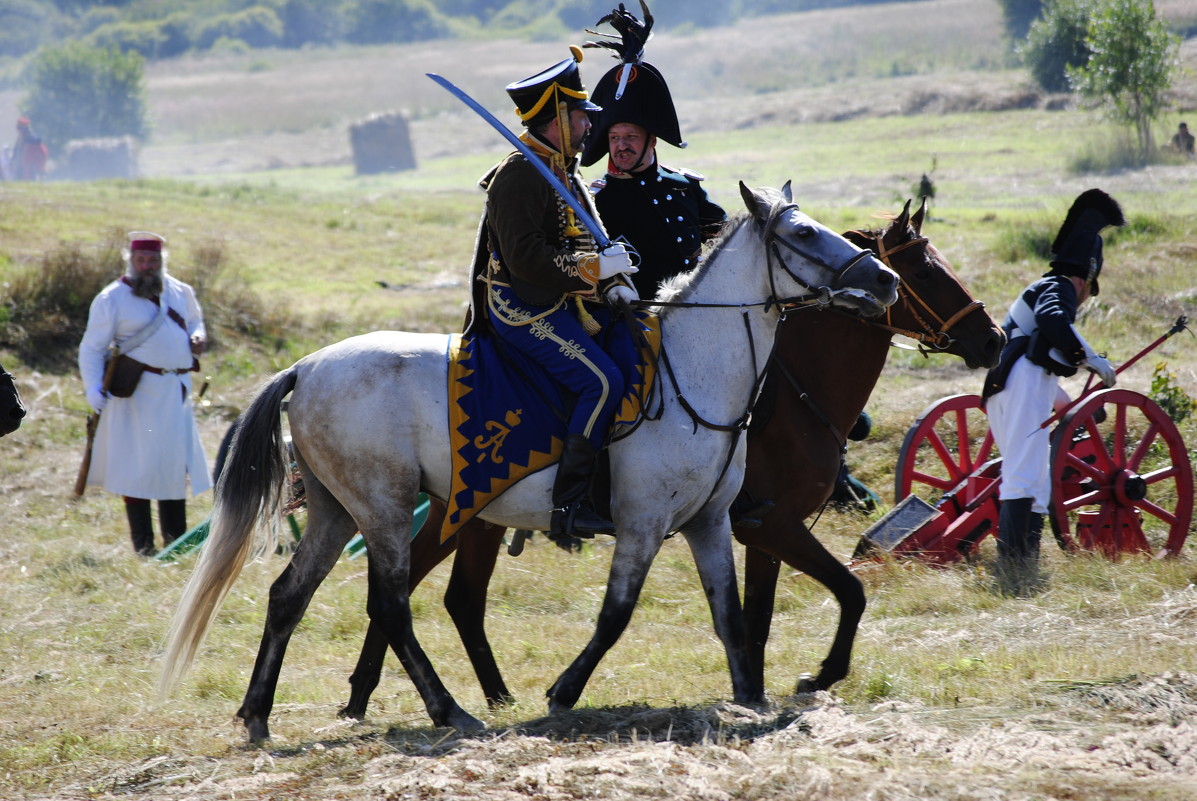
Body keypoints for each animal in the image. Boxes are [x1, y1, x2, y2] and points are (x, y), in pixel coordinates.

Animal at [332, 196, 1005, 713]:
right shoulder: (758, 523)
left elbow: (753, 613)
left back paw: (442, 695)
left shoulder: (742, 527)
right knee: (419, 590)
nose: (993, 339)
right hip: (450, 511)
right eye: (924, 269)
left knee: (448, 596)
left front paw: (756, 685)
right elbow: (846, 589)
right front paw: (817, 674)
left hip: (470, 514)